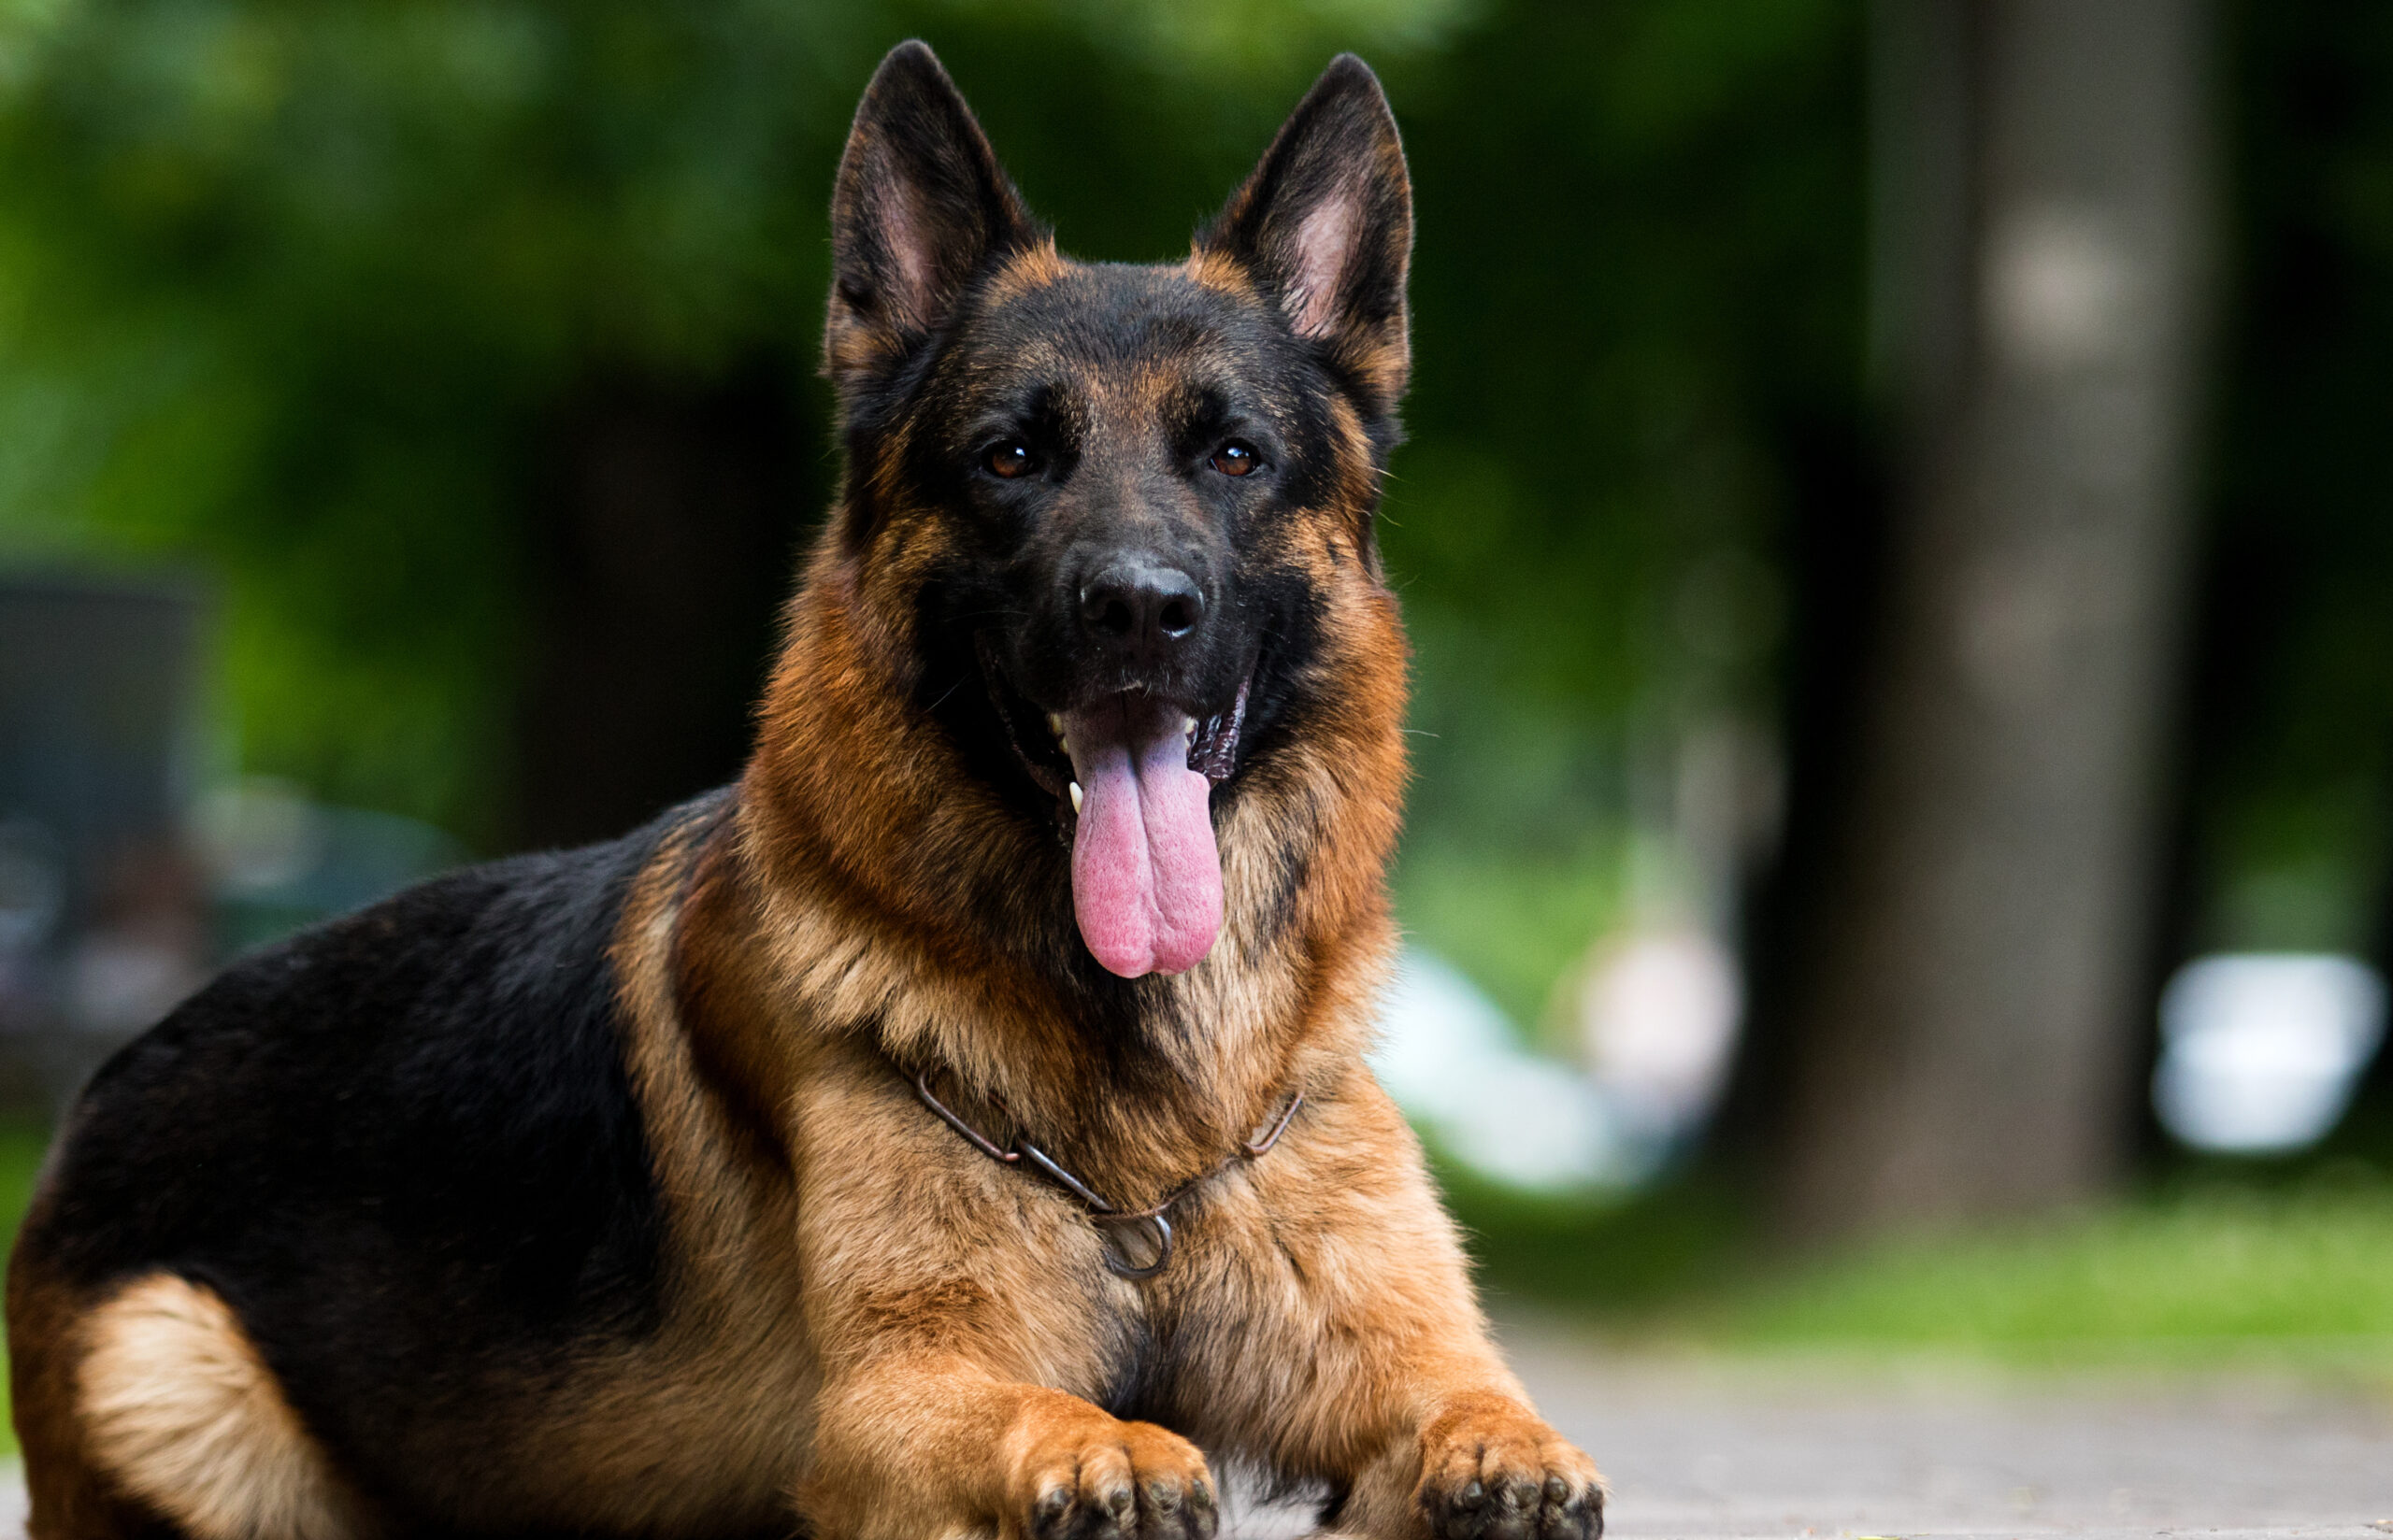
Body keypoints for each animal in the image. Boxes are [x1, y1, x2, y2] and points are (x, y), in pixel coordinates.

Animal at [9, 42, 1608, 1540]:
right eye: (1010, 456)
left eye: (1234, 454)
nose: (1139, 610)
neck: (1141, 1157)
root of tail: (92, 1100)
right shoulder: (891, 1401)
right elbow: (1047, 1412)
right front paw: (1111, 1448)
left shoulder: (1402, 1354)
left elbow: (1487, 1408)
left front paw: (1503, 1456)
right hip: (171, 1366)